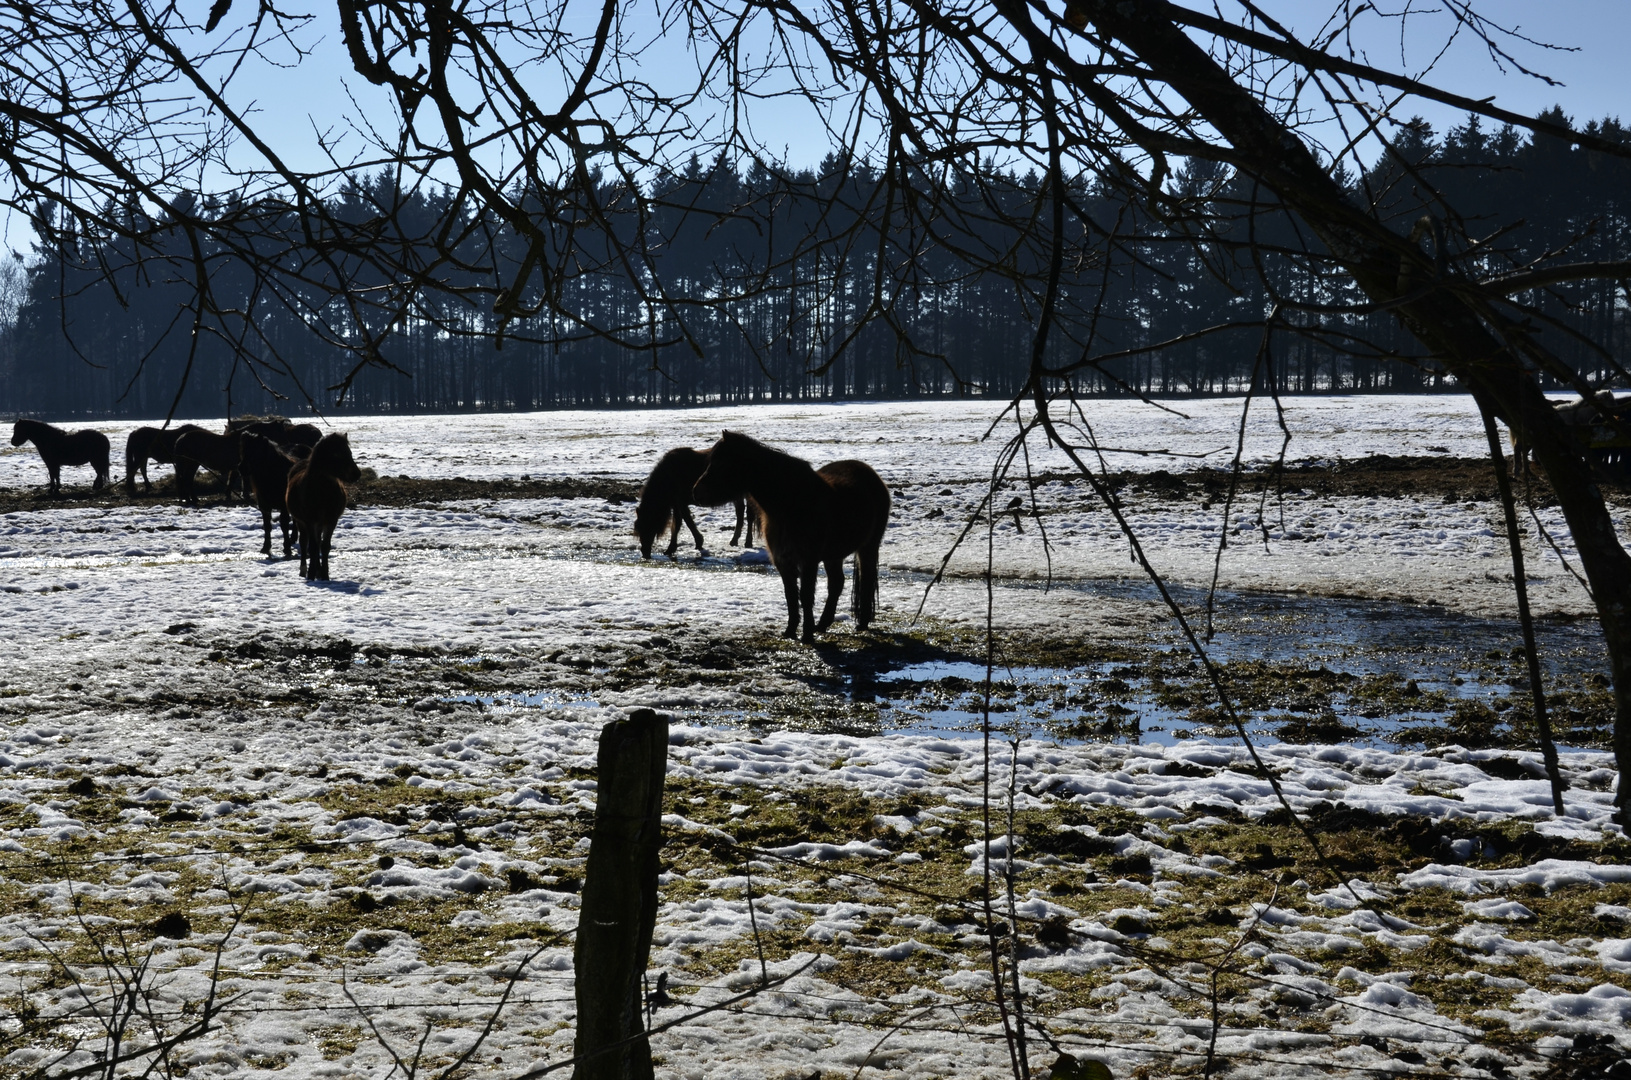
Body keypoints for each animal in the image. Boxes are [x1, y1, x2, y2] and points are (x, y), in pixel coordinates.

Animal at [238, 433, 308, 561]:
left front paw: (287, 548)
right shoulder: (264, 507)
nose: (242, 468)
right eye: (243, 450)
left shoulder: (283, 506)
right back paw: (293, 538)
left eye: (256, 450)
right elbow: (267, 526)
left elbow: (284, 525)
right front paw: (265, 548)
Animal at [287, 433, 363, 584]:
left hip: (319, 524)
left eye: (349, 452)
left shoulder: (331, 521)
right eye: (336, 454)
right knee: (305, 544)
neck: (323, 493)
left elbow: (325, 546)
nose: (357, 474)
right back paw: (304, 570)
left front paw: (325, 575)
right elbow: (313, 547)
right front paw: (311, 574)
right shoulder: (310, 522)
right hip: (302, 523)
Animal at [688, 430, 893, 642]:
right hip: (834, 555)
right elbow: (791, 595)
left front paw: (807, 635)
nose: (696, 492)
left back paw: (861, 623)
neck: (790, 505)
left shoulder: (808, 560)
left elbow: (805, 595)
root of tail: (871, 475)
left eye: (721, 463)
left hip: (868, 546)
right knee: (836, 584)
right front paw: (790, 631)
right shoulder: (783, 560)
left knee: (866, 579)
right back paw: (823, 624)